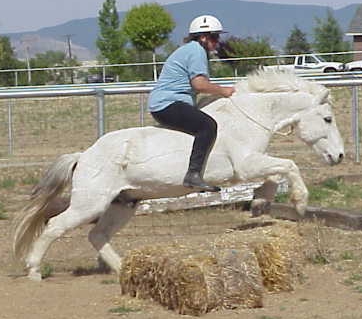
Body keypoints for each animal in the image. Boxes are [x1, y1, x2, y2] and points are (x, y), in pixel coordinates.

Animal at [12, 71, 346, 282]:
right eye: (328, 119)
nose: (339, 156)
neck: (248, 118)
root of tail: (83, 156)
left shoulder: (253, 165)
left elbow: (276, 176)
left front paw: (260, 204)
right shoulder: (246, 165)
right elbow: (289, 166)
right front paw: (300, 203)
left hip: (123, 204)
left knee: (98, 235)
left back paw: (124, 271)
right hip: (90, 204)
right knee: (54, 227)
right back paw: (34, 271)